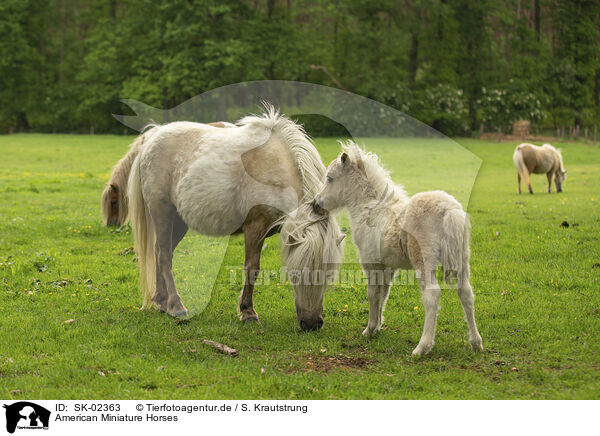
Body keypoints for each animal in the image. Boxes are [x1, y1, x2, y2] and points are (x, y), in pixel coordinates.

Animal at [127, 108, 342, 330]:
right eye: (296, 274)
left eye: (328, 275)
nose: (312, 324)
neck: (275, 166)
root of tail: (153, 136)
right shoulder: (255, 228)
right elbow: (252, 269)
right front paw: (248, 312)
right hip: (162, 213)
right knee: (164, 257)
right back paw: (176, 306)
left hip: (178, 222)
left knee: (161, 252)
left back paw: (162, 302)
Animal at [312, 141, 486, 356]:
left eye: (330, 178)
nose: (316, 203)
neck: (370, 208)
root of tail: (450, 211)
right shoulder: (388, 266)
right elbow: (383, 294)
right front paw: (377, 327)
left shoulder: (370, 262)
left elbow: (372, 294)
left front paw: (369, 329)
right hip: (462, 259)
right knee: (466, 293)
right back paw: (476, 342)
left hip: (424, 260)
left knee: (432, 295)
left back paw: (422, 347)